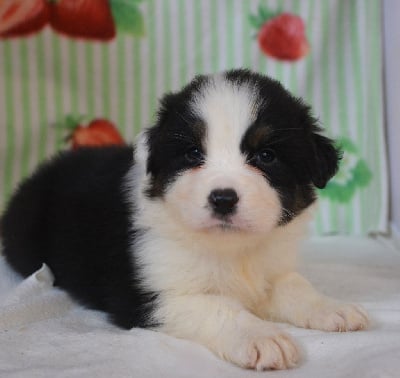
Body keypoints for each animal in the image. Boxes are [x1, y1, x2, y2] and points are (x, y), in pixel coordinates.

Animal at [0, 70, 368, 370]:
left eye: (266, 155)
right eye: (193, 153)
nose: (223, 198)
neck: (232, 249)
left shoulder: (272, 263)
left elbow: (294, 285)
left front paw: (332, 308)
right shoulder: (148, 294)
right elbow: (217, 306)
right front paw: (262, 337)